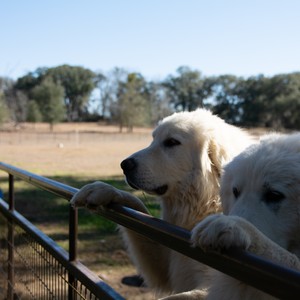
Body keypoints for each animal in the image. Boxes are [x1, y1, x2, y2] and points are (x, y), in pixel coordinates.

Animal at [71, 108, 253, 296]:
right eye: (153, 140)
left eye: (171, 142)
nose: (124, 165)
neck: (205, 203)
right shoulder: (165, 264)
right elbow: (136, 202)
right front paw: (101, 189)